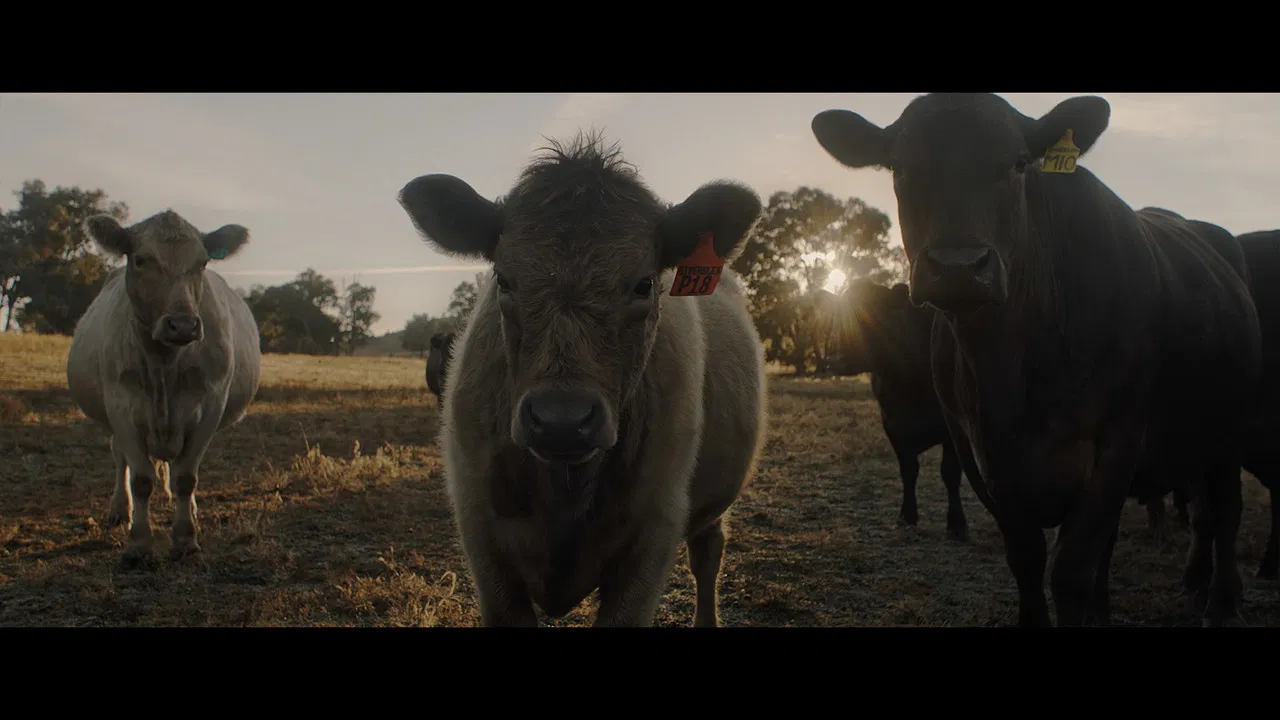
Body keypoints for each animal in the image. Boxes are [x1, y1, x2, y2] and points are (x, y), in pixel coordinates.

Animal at [66, 210, 262, 570]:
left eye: (202, 262)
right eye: (141, 259)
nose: (183, 325)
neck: (163, 364)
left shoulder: (210, 406)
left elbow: (186, 478)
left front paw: (185, 539)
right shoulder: (121, 405)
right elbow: (141, 478)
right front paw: (138, 544)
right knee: (120, 459)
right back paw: (120, 510)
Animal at [396, 132, 768, 627]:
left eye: (645, 284)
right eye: (504, 279)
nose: (561, 420)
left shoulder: (653, 538)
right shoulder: (483, 538)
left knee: (708, 551)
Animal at [839, 278, 969, 541]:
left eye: (875, 312)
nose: (841, 357)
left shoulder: (952, 429)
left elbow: (950, 473)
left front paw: (956, 523)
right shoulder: (893, 426)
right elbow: (908, 471)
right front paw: (907, 516)